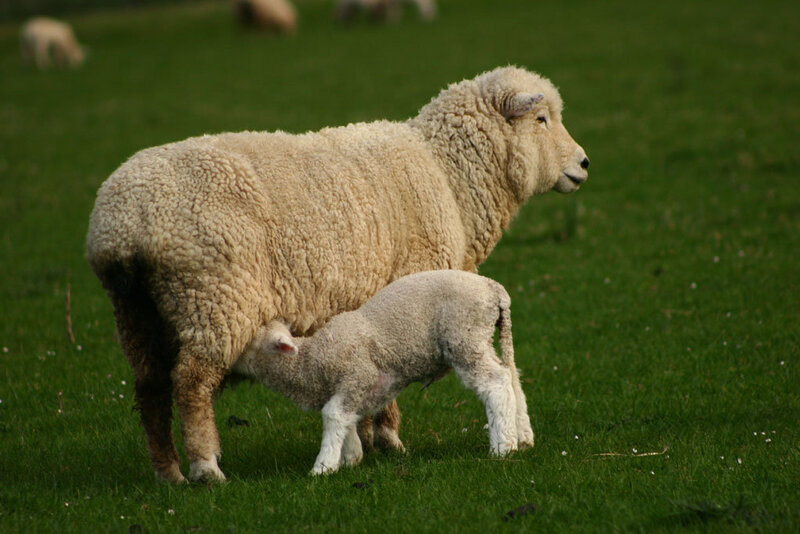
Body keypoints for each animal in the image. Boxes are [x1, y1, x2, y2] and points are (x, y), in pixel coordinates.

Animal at [234, 270, 534, 474]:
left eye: (249, 343)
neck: (312, 360)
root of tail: (494, 289)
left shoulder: (358, 375)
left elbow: (332, 415)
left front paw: (322, 467)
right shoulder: (351, 388)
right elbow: (347, 418)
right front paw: (351, 458)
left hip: (465, 336)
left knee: (495, 384)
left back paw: (502, 448)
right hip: (483, 338)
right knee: (512, 378)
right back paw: (522, 436)